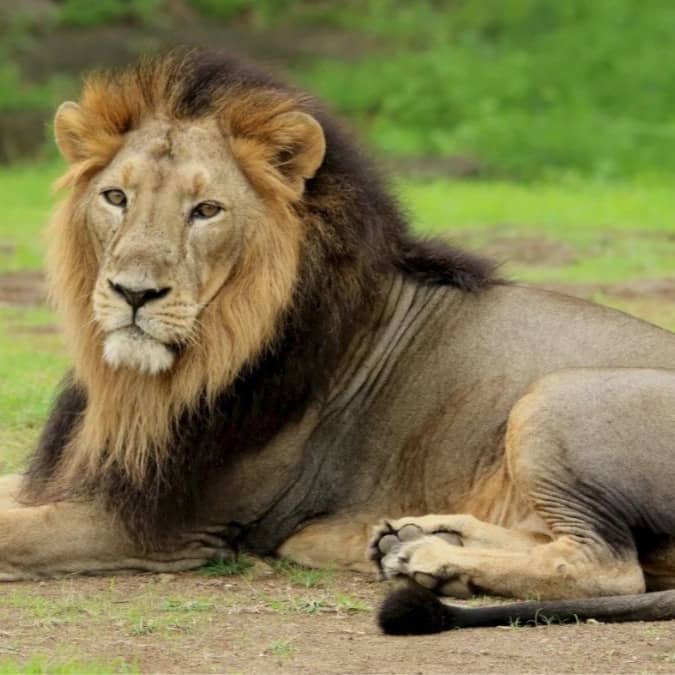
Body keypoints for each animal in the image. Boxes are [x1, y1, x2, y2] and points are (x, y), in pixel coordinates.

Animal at [2, 50, 675, 632]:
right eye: (115, 197)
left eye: (207, 210)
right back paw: (416, 539)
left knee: (607, 566)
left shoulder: (175, 527)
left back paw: (434, 559)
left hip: (556, 397)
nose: (133, 293)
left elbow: (13, 532)